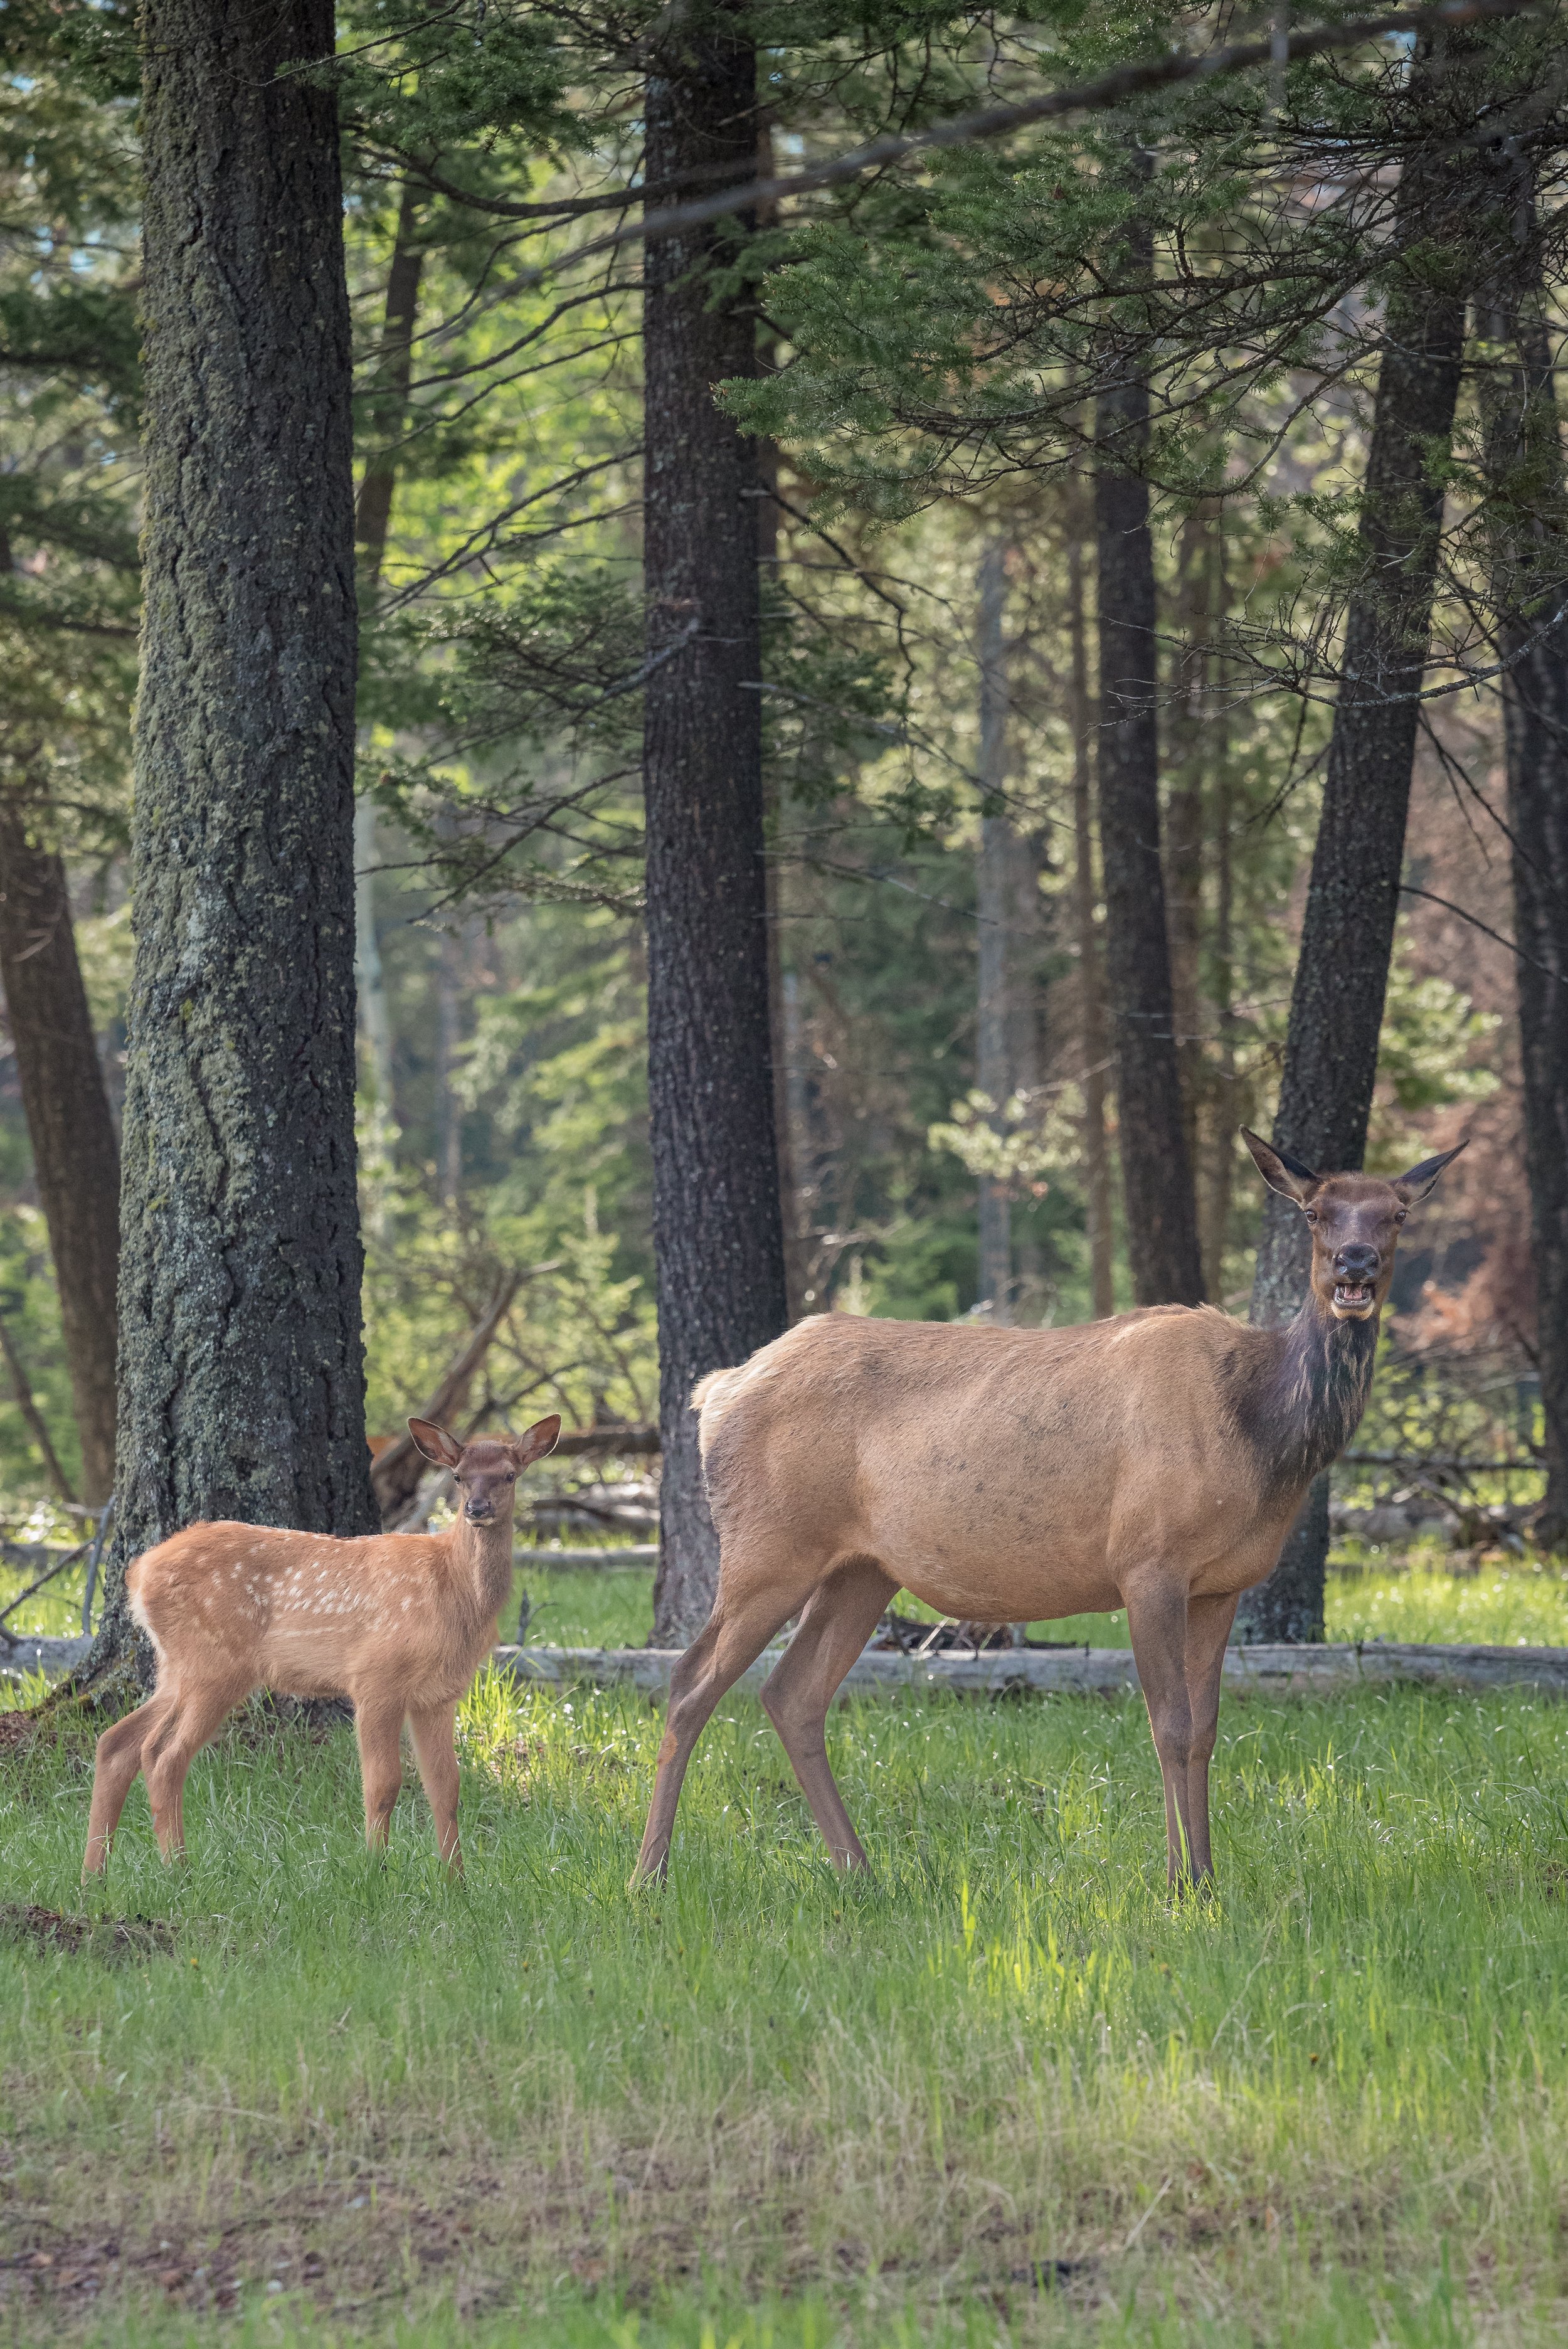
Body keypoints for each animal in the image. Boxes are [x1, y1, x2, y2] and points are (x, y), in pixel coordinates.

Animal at [84, 1400, 556, 1879]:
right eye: (458, 1476)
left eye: (510, 1475)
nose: (477, 1508)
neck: (455, 1592)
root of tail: (138, 1574)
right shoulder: (375, 1677)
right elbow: (383, 1783)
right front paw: (375, 1871)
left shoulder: (438, 1695)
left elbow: (446, 1786)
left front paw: (455, 1881)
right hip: (213, 1664)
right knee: (164, 1756)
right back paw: (179, 1870)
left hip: (177, 1667)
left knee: (117, 1742)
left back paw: (95, 1875)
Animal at [628, 1137, 1465, 1888]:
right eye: (1316, 1212)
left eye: (1395, 1213)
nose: (1354, 1264)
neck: (1260, 1435)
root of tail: (716, 1390)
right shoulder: (1147, 1561)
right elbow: (1170, 1725)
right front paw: (1181, 1886)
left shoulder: (1223, 1584)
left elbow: (1206, 1730)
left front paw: (1206, 1873)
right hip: (769, 1545)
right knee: (688, 1680)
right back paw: (650, 1875)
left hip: (862, 1568)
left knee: (791, 1693)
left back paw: (860, 1870)